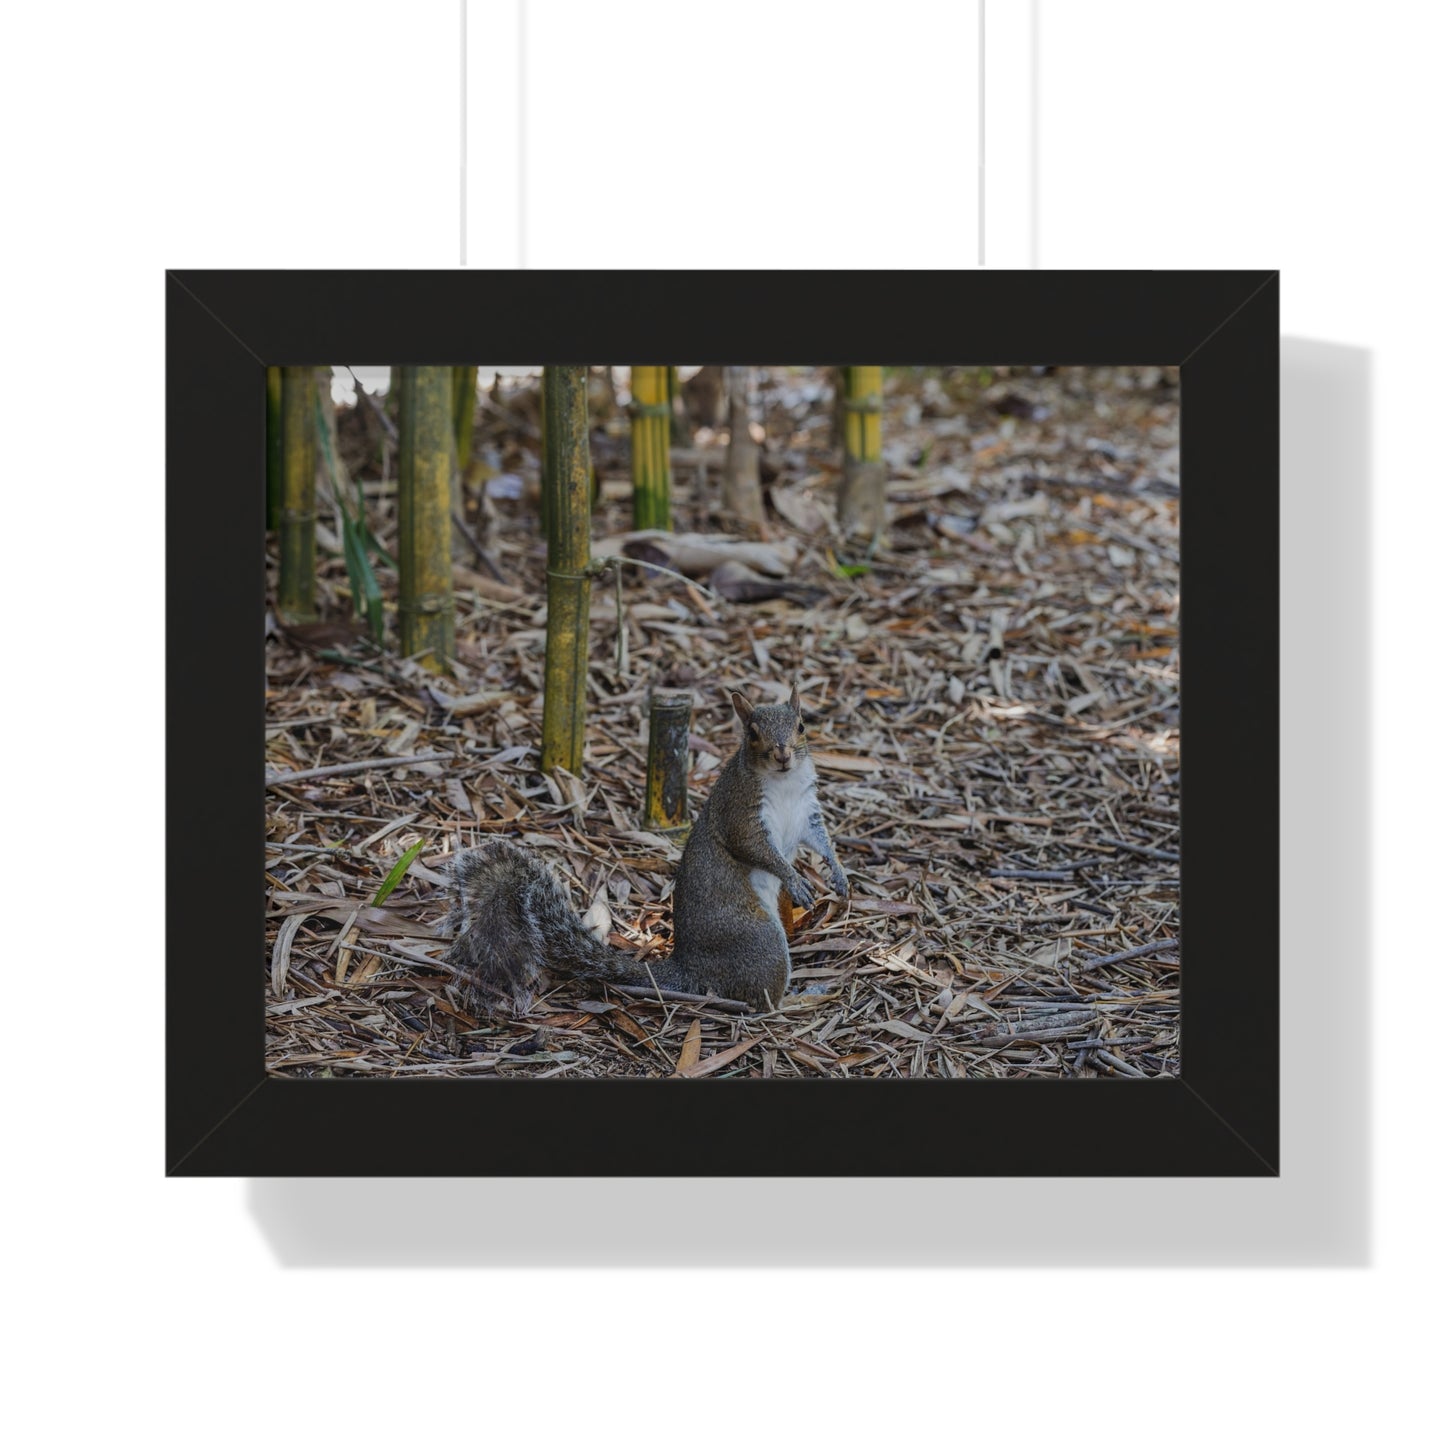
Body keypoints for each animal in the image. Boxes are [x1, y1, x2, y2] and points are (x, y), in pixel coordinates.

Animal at [444, 684, 849, 1014]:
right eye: (752, 733)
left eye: (801, 726)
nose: (782, 755)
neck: (783, 782)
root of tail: (687, 968)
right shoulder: (740, 813)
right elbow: (757, 850)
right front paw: (794, 880)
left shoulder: (806, 811)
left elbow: (820, 839)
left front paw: (839, 874)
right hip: (759, 942)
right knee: (760, 1001)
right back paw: (801, 999)